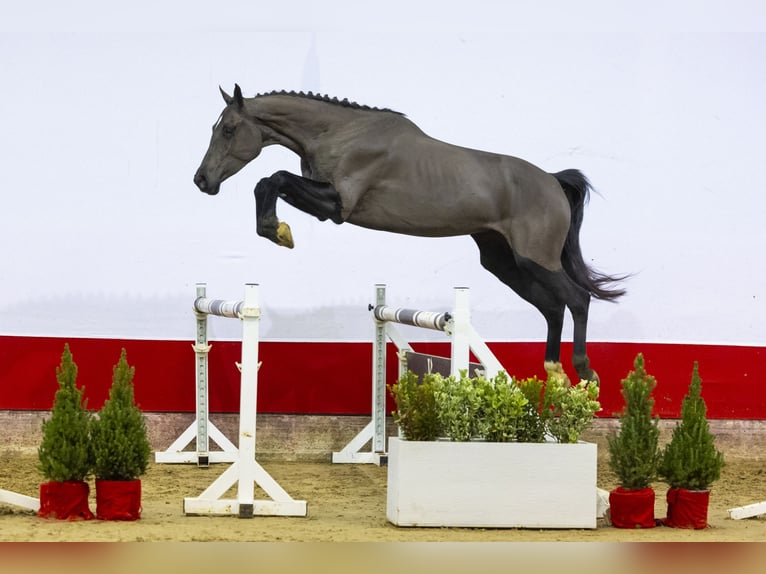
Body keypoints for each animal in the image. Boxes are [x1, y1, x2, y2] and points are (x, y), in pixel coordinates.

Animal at [195, 84, 628, 382]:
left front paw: (277, 230)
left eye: (229, 129)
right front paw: (276, 229)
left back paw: (584, 371)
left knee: (578, 299)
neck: (339, 133)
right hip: (504, 263)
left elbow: (274, 179)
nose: (202, 181)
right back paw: (554, 370)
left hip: (534, 258)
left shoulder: (337, 207)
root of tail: (553, 181)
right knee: (554, 307)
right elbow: (269, 182)